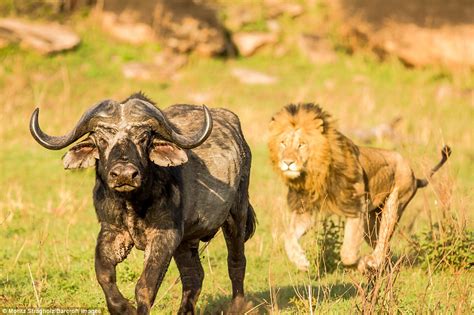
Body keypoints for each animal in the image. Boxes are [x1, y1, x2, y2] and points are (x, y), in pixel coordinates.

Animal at [28, 94, 256, 315]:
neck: (132, 203)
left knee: (236, 262)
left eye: (143, 137)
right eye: (101, 138)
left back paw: (238, 306)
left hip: (237, 213)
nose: (124, 174)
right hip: (187, 241)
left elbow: (145, 286)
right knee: (193, 276)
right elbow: (103, 275)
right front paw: (122, 307)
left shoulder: (165, 235)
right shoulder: (111, 231)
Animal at [268, 104, 450, 274]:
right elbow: (288, 236)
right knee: (385, 247)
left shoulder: (355, 208)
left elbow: (348, 253)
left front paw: (362, 264)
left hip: (395, 203)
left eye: (301, 145)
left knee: (383, 241)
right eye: (283, 143)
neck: (316, 174)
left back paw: (373, 262)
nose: (287, 162)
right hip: (371, 221)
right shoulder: (305, 209)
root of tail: (413, 174)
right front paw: (300, 261)